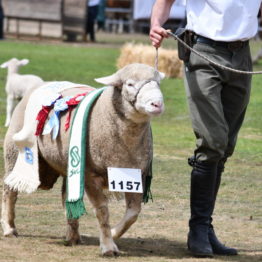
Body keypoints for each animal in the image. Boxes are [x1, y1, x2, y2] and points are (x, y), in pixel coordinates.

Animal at [1, 63, 166, 256]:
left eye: (158, 82)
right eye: (130, 84)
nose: (157, 104)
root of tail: (42, 84)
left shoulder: (136, 176)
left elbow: (133, 213)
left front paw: (113, 233)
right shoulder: (89, 175)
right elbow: (102, 210)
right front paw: (108, 246)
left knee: (67, 197)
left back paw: (72, 236)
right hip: (14, 153)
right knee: (9, 191)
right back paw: (9, 228)